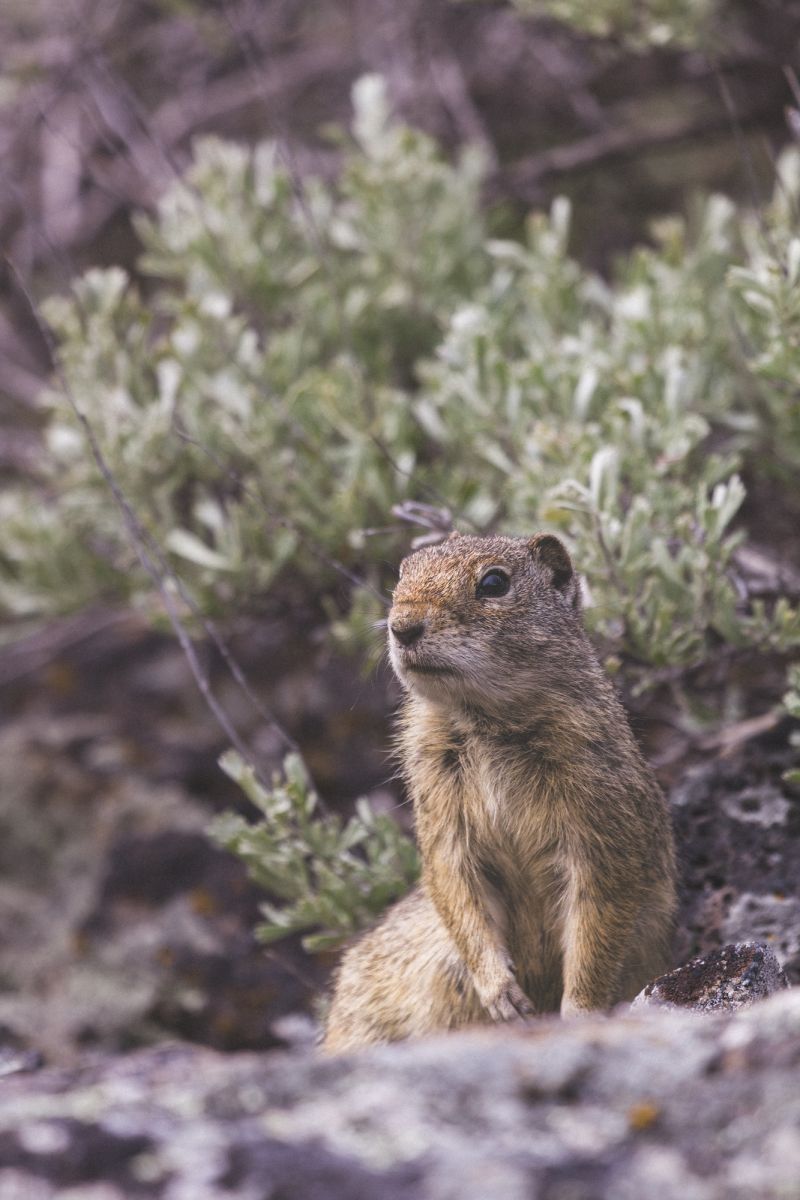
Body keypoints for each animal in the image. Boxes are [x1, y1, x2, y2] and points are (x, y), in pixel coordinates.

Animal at [323, 531, 676, 1053]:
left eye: (494, 583)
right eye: (403, 572)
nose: (401, 626)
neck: (487, 723)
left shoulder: (602, 836)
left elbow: (595, 933)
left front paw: (578, 1014)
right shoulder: (444, 824)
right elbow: (457, 896)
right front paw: (502, 994)